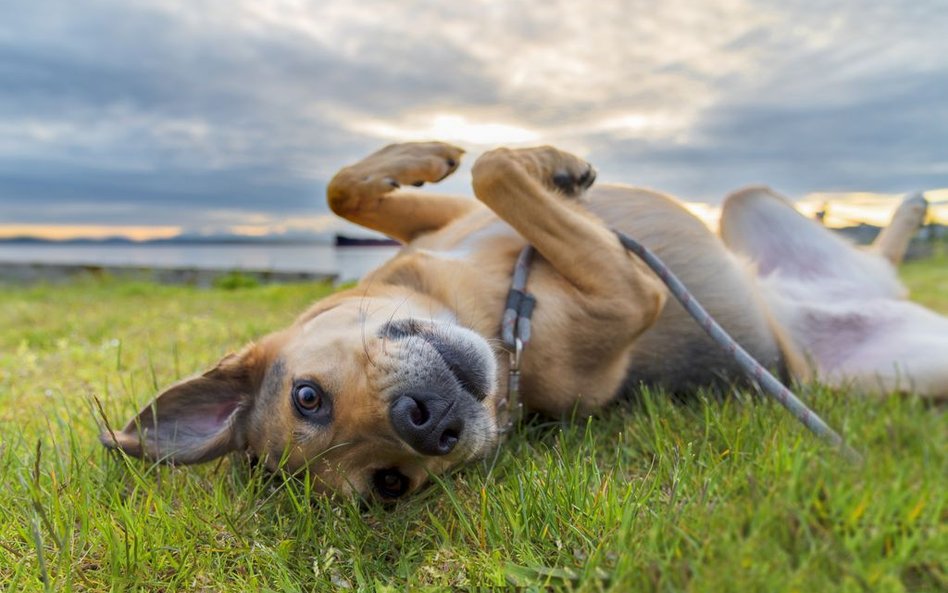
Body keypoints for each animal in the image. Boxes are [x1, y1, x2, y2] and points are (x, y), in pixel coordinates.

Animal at [100, 141, 944, 498]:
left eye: (307, 396)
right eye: (390, 484)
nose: (427, 423)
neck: (484, 306)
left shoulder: (448, 222)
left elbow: (364, 187)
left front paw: (439, 152)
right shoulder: (630, 292)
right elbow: (498, 172)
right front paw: (544, 163)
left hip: (746, 204)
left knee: (874, 251)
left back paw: (909, 209)